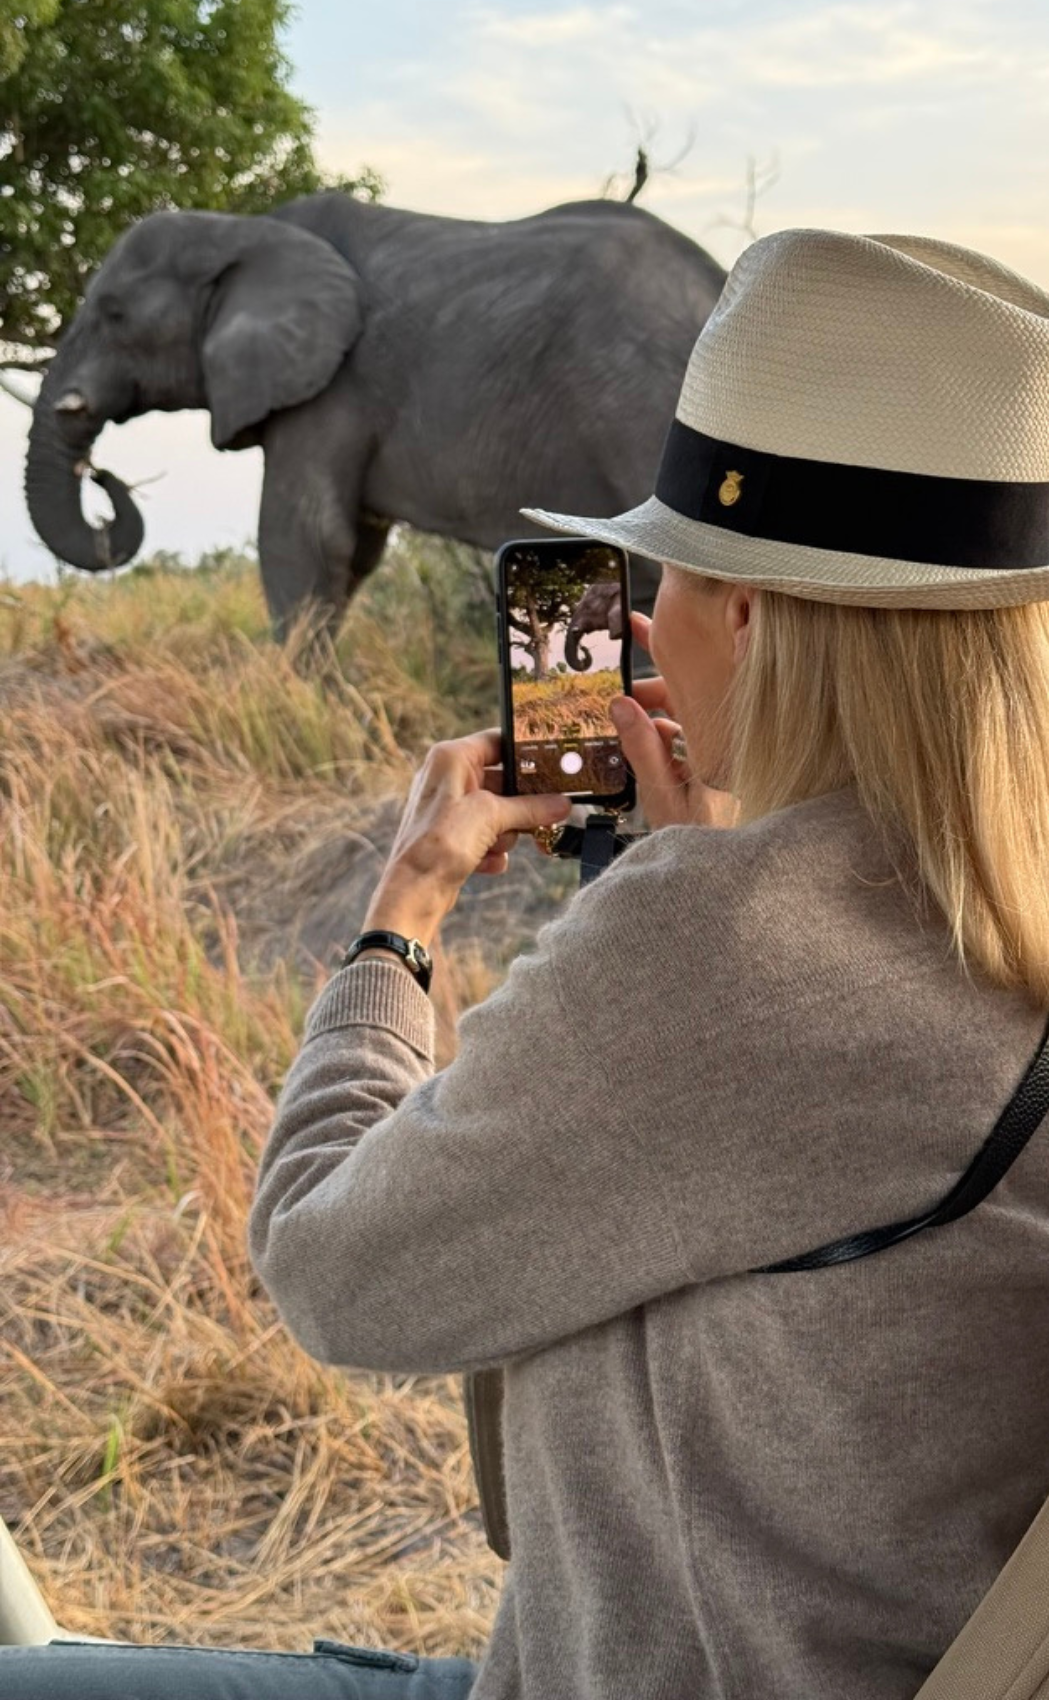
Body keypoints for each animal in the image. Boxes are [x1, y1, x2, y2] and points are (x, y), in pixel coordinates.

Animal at [26, 192, 727, 642]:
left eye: (115, 314)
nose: (101, 474)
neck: (242, 231)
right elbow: (352, 550)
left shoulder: (335, 387)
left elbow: (304, 539)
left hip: (643, 409)